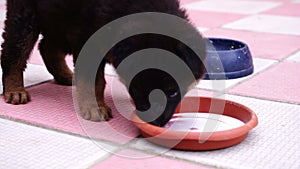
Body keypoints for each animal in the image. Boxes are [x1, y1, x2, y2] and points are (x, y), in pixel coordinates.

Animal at [0, 0, 206, 126]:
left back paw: (65, 76)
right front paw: (95, 107)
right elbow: (95, 80)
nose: (154, 123)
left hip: (60, 22)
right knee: (14, 53)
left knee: (47, 47)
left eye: (173, 92)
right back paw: (15, 90)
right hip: (26, 16)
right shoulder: (87, 41)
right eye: (137, 88)